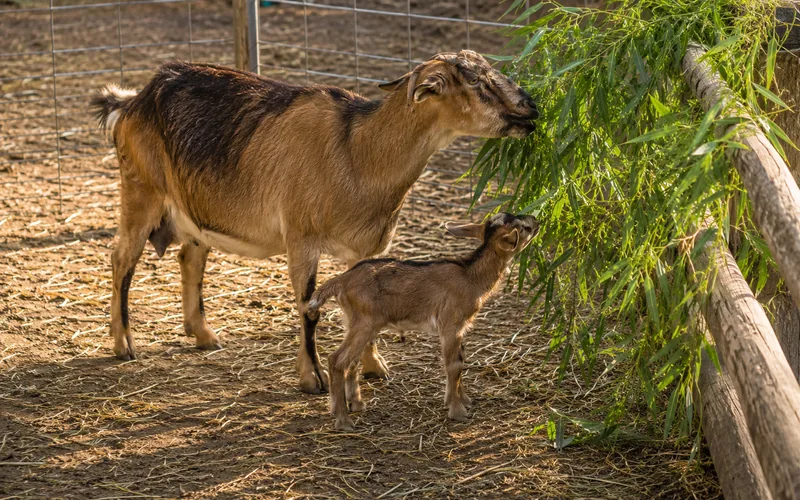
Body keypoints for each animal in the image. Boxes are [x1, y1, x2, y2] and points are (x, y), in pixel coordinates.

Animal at [89, 50, 539, 395]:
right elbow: (309, 308)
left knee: (189, 259)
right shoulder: (301, 240)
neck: (357, 152)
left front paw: (374, 368)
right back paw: (124, 343)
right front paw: (314, 379)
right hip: (141, 190)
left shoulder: (364, 248)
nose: (531, 109)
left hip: (193, 207)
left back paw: (204, 336)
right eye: (478, 83)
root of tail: (133, 102)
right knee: (121, 258)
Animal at [308, 213, 540, 430]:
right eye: (523, 228)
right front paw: (458, 411)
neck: (470, 276)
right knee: (337, 360)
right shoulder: (451, 324)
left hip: (353, 321)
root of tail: (342, 280)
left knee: (352, 361)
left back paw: (355, 404)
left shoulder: (460, 327)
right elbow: (454, 364)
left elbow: (461, 359)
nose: (536, 220)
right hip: (365, 323)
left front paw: (462, 400)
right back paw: (343, 419)